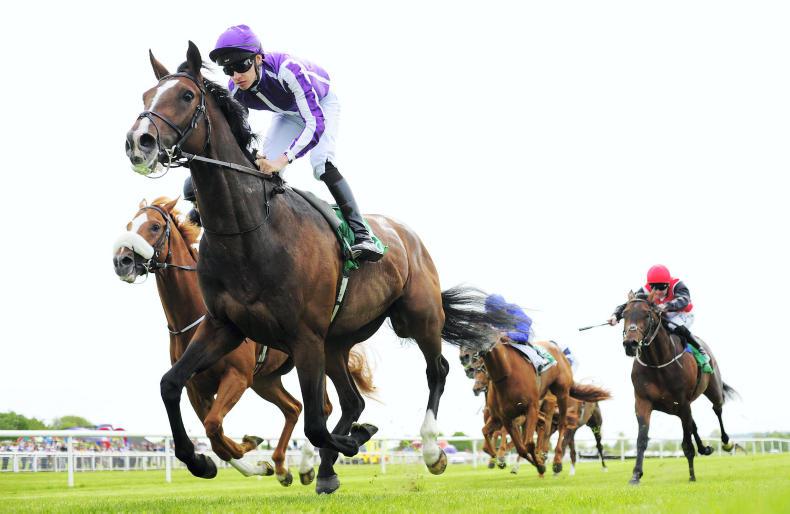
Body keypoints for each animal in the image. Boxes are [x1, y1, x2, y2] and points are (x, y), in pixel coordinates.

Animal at [112, 196, 375, 486]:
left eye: (155, 226)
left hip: (307, 357)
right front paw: (225, 459)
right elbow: (214, 433)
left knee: (322, 406)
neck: (193, 316)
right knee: (293, 408)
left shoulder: (237, 376)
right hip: (265, 380)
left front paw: (246, 452)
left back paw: (307, 465)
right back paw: (281, 466)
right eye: (129, 225)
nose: (122, 261)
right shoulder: (196, 389)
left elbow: (214, 425)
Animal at [475, 338, 611, 476]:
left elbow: (516, 438)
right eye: (475, 368)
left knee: (592, 442)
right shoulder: (506, 417)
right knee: (567, 443)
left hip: (587, 419)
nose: (476, 388)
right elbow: (496, 436)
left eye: (482, 367)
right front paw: (497, 458)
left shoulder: (524, 415)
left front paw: (502, 458)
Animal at [620, 290, 737, 485]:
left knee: (717, 409)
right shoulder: (643, 402)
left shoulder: (682, 401)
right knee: (693, 424)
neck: (658, 363)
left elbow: (687, 442)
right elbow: (642, 439)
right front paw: (636, 475)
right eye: (624, 314)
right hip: (677, 408)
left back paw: (726, 442)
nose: (630, 343)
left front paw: (692, 476)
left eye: (647, 314)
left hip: (711, 390)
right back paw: (704, 448)